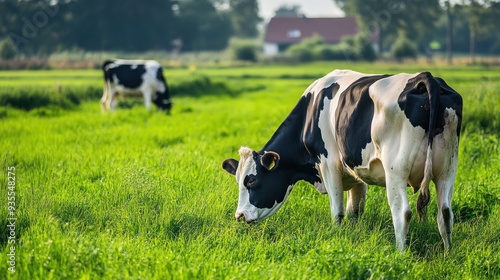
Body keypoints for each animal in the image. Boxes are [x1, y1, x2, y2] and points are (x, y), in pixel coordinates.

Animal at [221, 69, 462, 250]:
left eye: (252, 181)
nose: (239, 215)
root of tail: (424, 78)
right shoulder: (358, 171)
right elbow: (354, 210)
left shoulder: (328, 164)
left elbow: (337, 212)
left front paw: (337, 237)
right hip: (447, 169)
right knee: (445, 213)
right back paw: (447, 254)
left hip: (396, 171)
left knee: (402, 213)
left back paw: (400, 253)